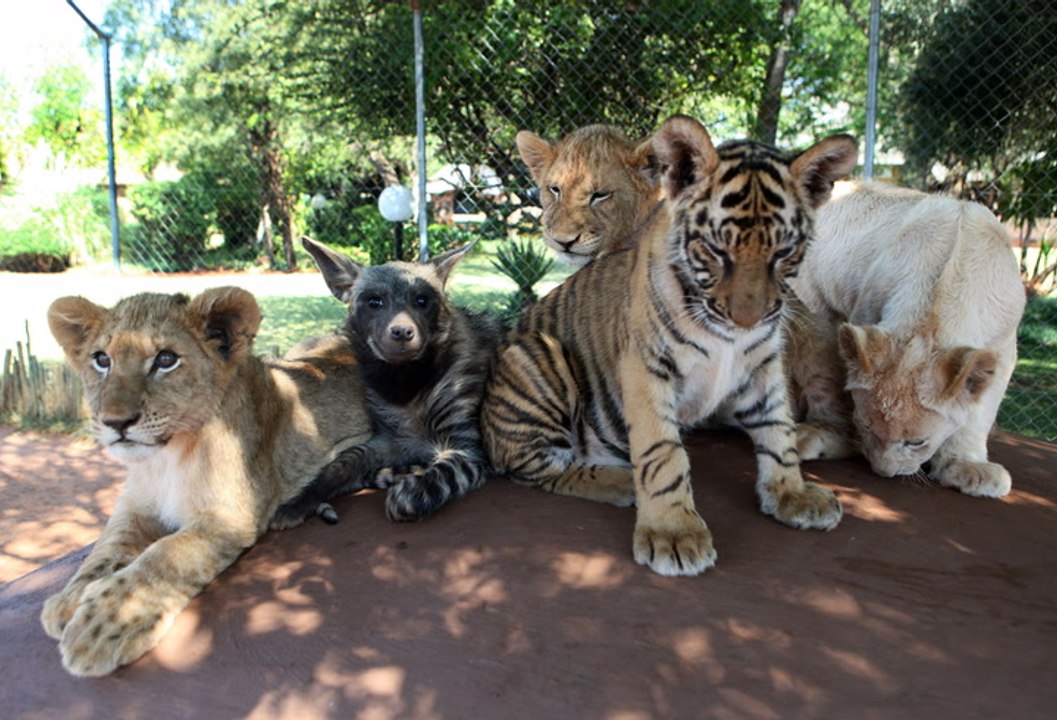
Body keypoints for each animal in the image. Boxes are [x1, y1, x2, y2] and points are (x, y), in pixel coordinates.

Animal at [40, 288, 370, 676]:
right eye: (102, 360)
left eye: (166, 359)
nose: (115, 422)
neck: (165, 458)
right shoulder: (134, 508)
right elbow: (105, 549)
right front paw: (68, 600)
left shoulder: (230, 515)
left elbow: (167, 554)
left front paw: (102, 626)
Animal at [790, 182, 1026, 497]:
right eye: (867, 426)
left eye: (917, 442)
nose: (883, 472)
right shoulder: (865, 315)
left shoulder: (1003, 345)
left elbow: (979, 413)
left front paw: (966, 466)